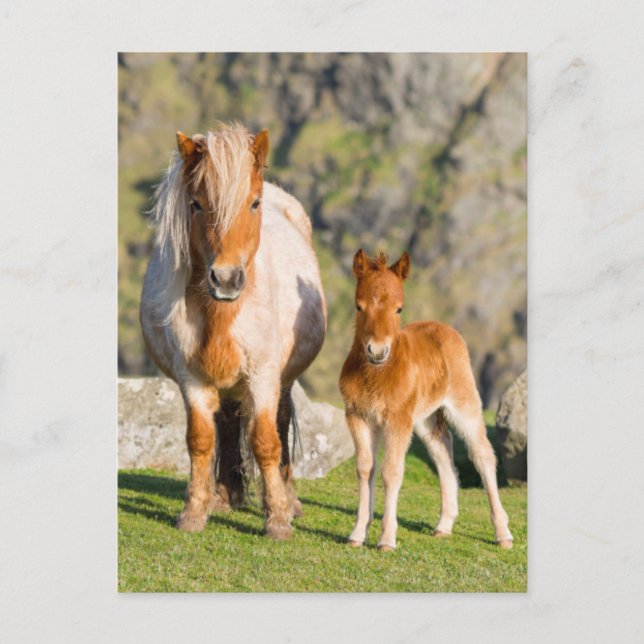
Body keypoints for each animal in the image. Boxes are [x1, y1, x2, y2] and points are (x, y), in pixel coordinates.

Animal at [140, 122, 326, 539]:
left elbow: (266, 441)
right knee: (226, 422)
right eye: (195, 204)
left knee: (280, 423)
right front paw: (194, 513)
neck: (223, 313)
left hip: (281, 379)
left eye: (253, 204)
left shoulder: (263, 375)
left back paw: (289, 501)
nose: (225, 279)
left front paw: (277, 520)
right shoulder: (191, 378)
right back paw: (227, 496)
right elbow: (200, 440)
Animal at [339, 250, 513, 551]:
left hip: (463, 406)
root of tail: (445, 328)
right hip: (425, 418)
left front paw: (387, 539)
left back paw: (503, 533)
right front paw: (357, 534)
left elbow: (391, 472)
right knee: (443, 453)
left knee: (482, 456)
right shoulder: (358, 416)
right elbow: (365, 469)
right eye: (359, 306)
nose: (377, 351)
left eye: (399, 309)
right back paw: (444, 525)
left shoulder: (397, 420)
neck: (377, 374)